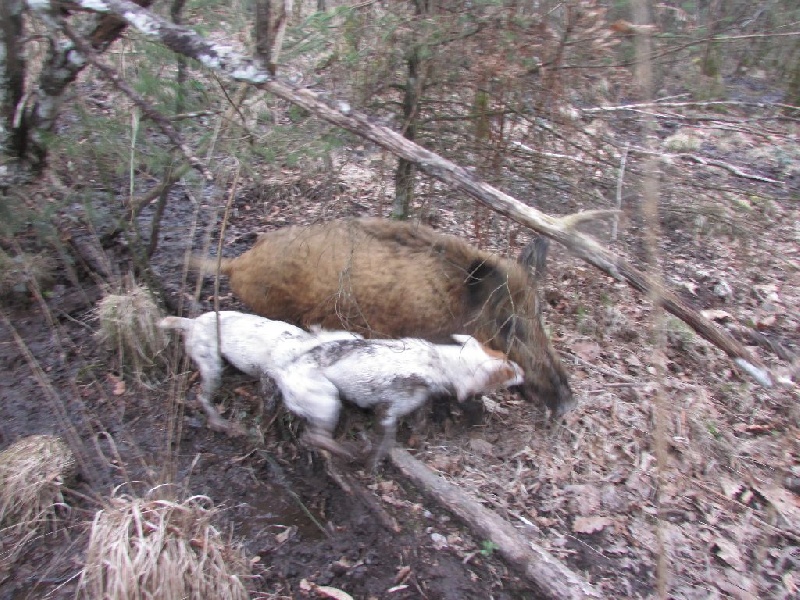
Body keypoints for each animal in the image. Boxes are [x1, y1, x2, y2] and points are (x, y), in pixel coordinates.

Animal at [276, 332, 524, 468]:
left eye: (506, 357)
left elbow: (420, 421)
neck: (441, 363)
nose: (524, 372)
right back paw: (348, 451)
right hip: (327, 400)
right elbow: (386, 441)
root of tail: (285, 371)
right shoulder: (389, 411)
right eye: (509, 370)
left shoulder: (419, 403)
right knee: (313, 437)